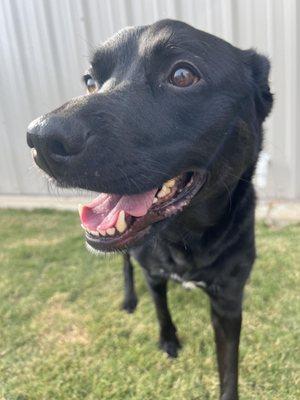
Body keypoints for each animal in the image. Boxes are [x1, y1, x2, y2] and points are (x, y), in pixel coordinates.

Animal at [27, 19, 272, 400]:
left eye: (183, 75)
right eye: (90, 81)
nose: (39, 139)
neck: (186, 238)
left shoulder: (229, 302)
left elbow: (229, 369)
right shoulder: (152, 272)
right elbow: (160, 308)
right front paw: (168, 340)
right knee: (125, 266)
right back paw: (129, 299)